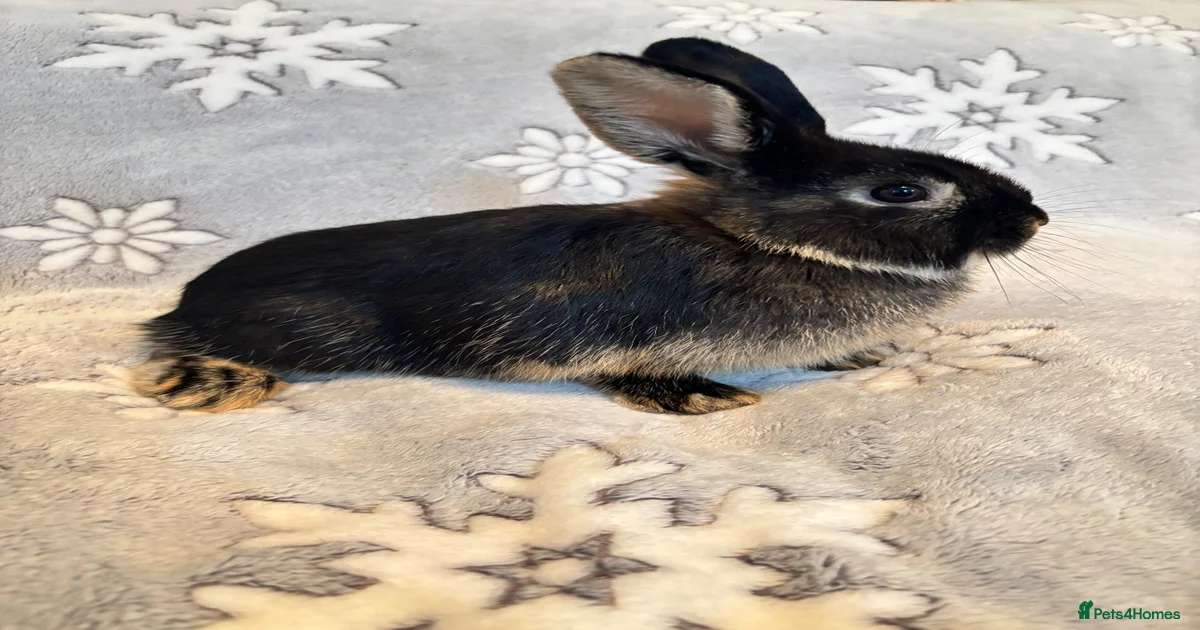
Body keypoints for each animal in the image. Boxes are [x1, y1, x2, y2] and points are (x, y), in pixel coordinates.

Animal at [131, 37, 1047, 415]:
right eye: (901, 189)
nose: (1034, 217)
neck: (764, 241)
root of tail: (180, 303)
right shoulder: (623, 337)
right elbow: (635, 373)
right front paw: (707, 401)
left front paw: (860, 355)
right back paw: (215, 385)